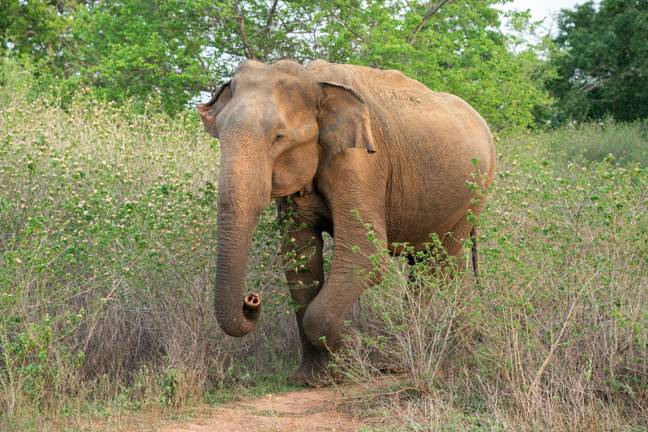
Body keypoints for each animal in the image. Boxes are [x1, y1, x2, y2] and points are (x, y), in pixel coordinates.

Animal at [197, 59, 496, 386]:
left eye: (279, 137)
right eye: (219, 135)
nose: (251, 300)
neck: (312, 81)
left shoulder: (360, 162)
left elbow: (365, 253)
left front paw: (354, 349)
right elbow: (300, 259)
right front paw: (312, 378)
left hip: (473, 195)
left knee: (440, 265)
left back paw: (419, 359)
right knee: (433, 265)